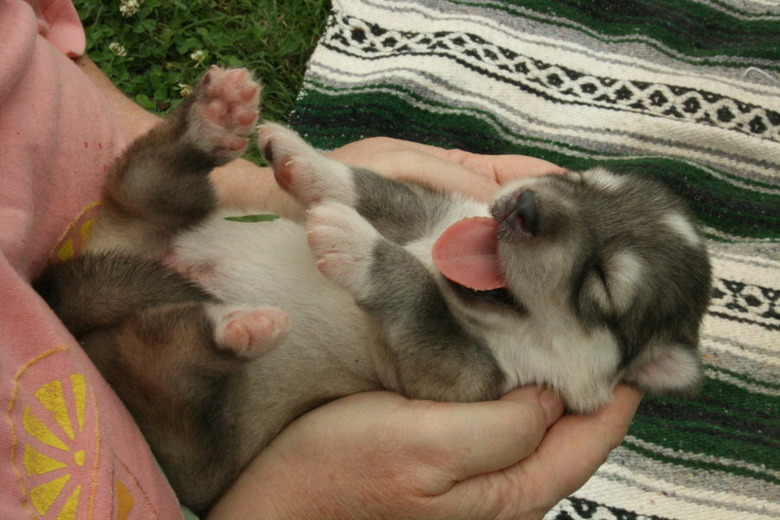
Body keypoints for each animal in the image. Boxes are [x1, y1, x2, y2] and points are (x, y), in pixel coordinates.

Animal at [33, 67, 708, 512]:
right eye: (583, 180)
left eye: (602, 286)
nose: (525, 207)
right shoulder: (434, 212)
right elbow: (376, 189)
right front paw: (304, 162)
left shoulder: (459, 378)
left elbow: (419, 298)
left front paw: (354, 244)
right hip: (140, 218)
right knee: (148, 182)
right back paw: (214, 118)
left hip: (190, 441)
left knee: (166, 354)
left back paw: (237, 328)